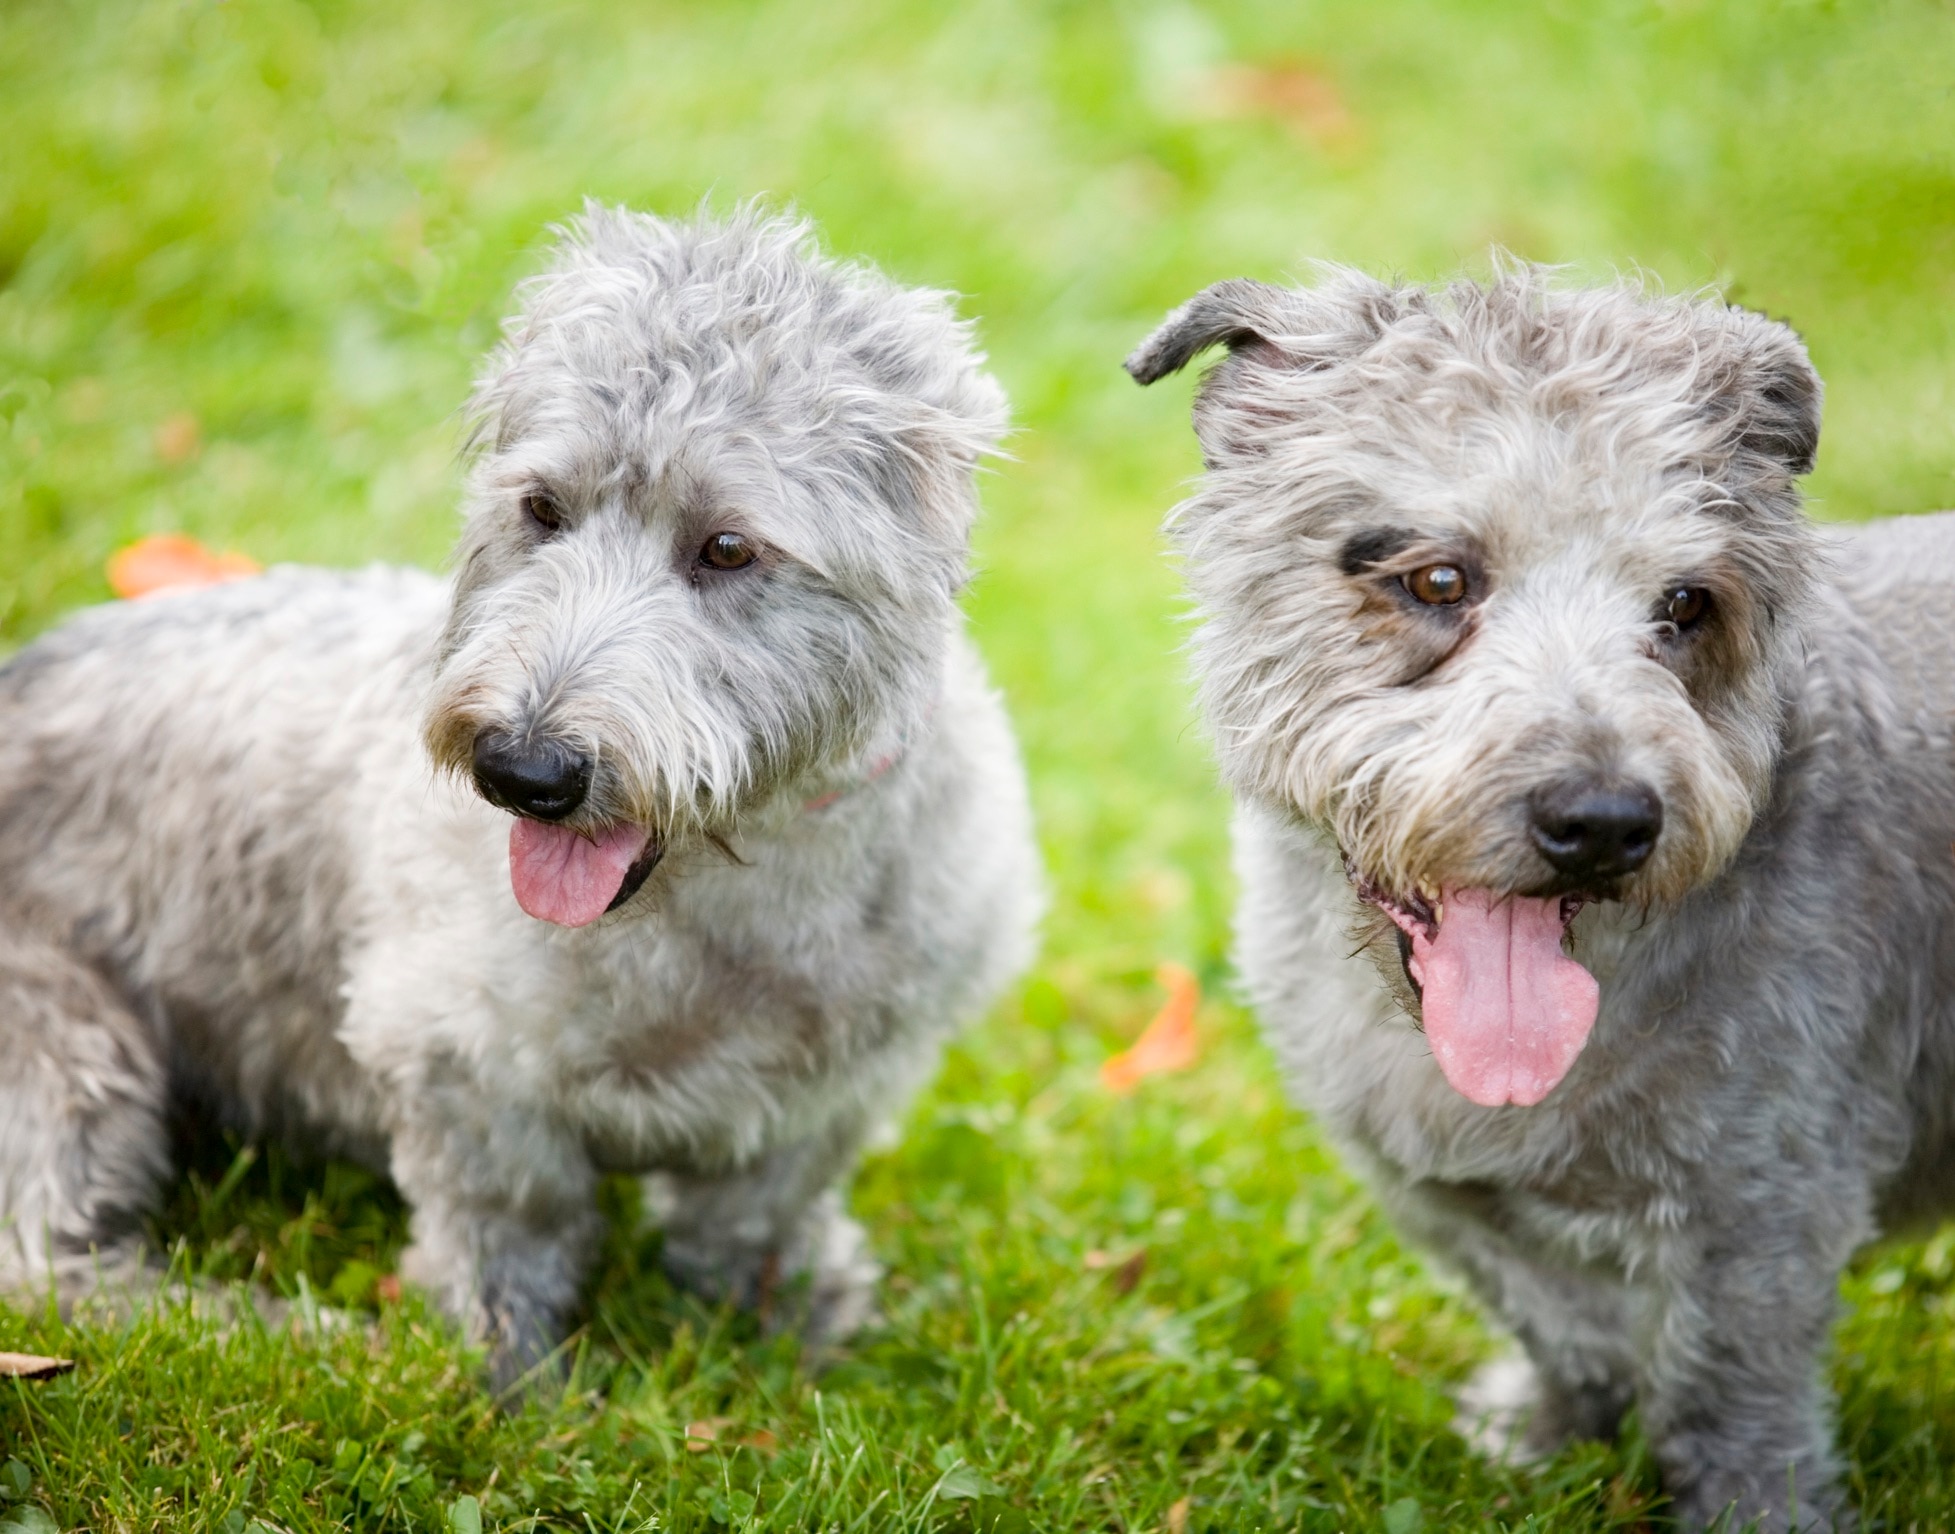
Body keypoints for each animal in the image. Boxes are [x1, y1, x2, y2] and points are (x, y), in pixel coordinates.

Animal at [0, 206, 1040, 1391]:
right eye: (542, 508)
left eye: (729, 546)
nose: (522, 770)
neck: (735, 888)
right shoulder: (453, 1061)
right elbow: (514, 1223)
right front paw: (508, 1376)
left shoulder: (841, 1084)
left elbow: (757, 1210)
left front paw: (786, 1317)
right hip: (66, 1037)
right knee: (50, 1264)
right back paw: (272, 1330)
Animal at [1126, 269, 1955, 1524]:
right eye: (1435, 578)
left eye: (1684, 604)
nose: (1603, 822)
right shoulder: (1447, 1194)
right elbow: (1564, 1326)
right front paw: (1543, 1438)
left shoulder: (1764, 1214)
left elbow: (1727, 1393)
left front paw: (1756, 1507)